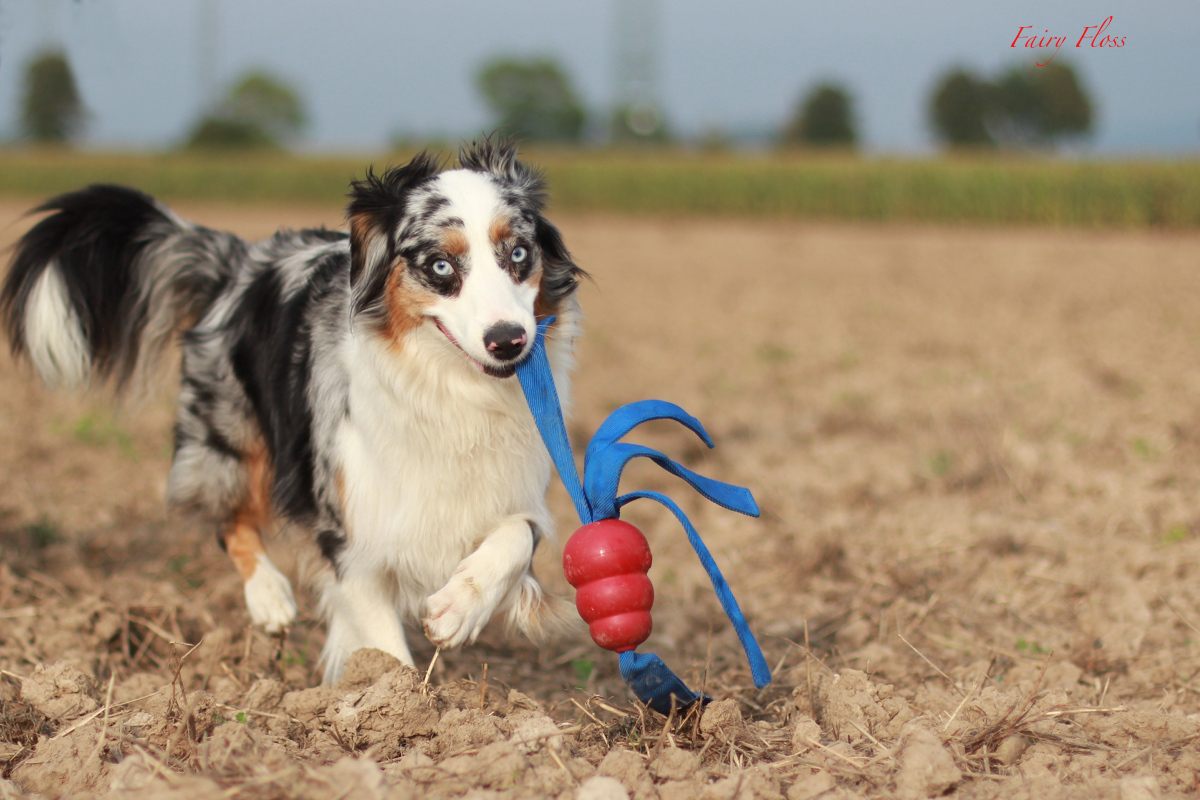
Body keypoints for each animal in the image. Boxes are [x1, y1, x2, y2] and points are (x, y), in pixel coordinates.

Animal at [0, 137, 583, 681]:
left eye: (518, 255)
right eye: (440, 265)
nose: (508, 341)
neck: (449, 389)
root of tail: (237, 259)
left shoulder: (519, 485)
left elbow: (517, 536)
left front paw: (458, 609)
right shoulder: (348, 526)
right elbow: (383, 646)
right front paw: (398, 703)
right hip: (232, 436)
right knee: (228, 518)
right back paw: (270, 597)